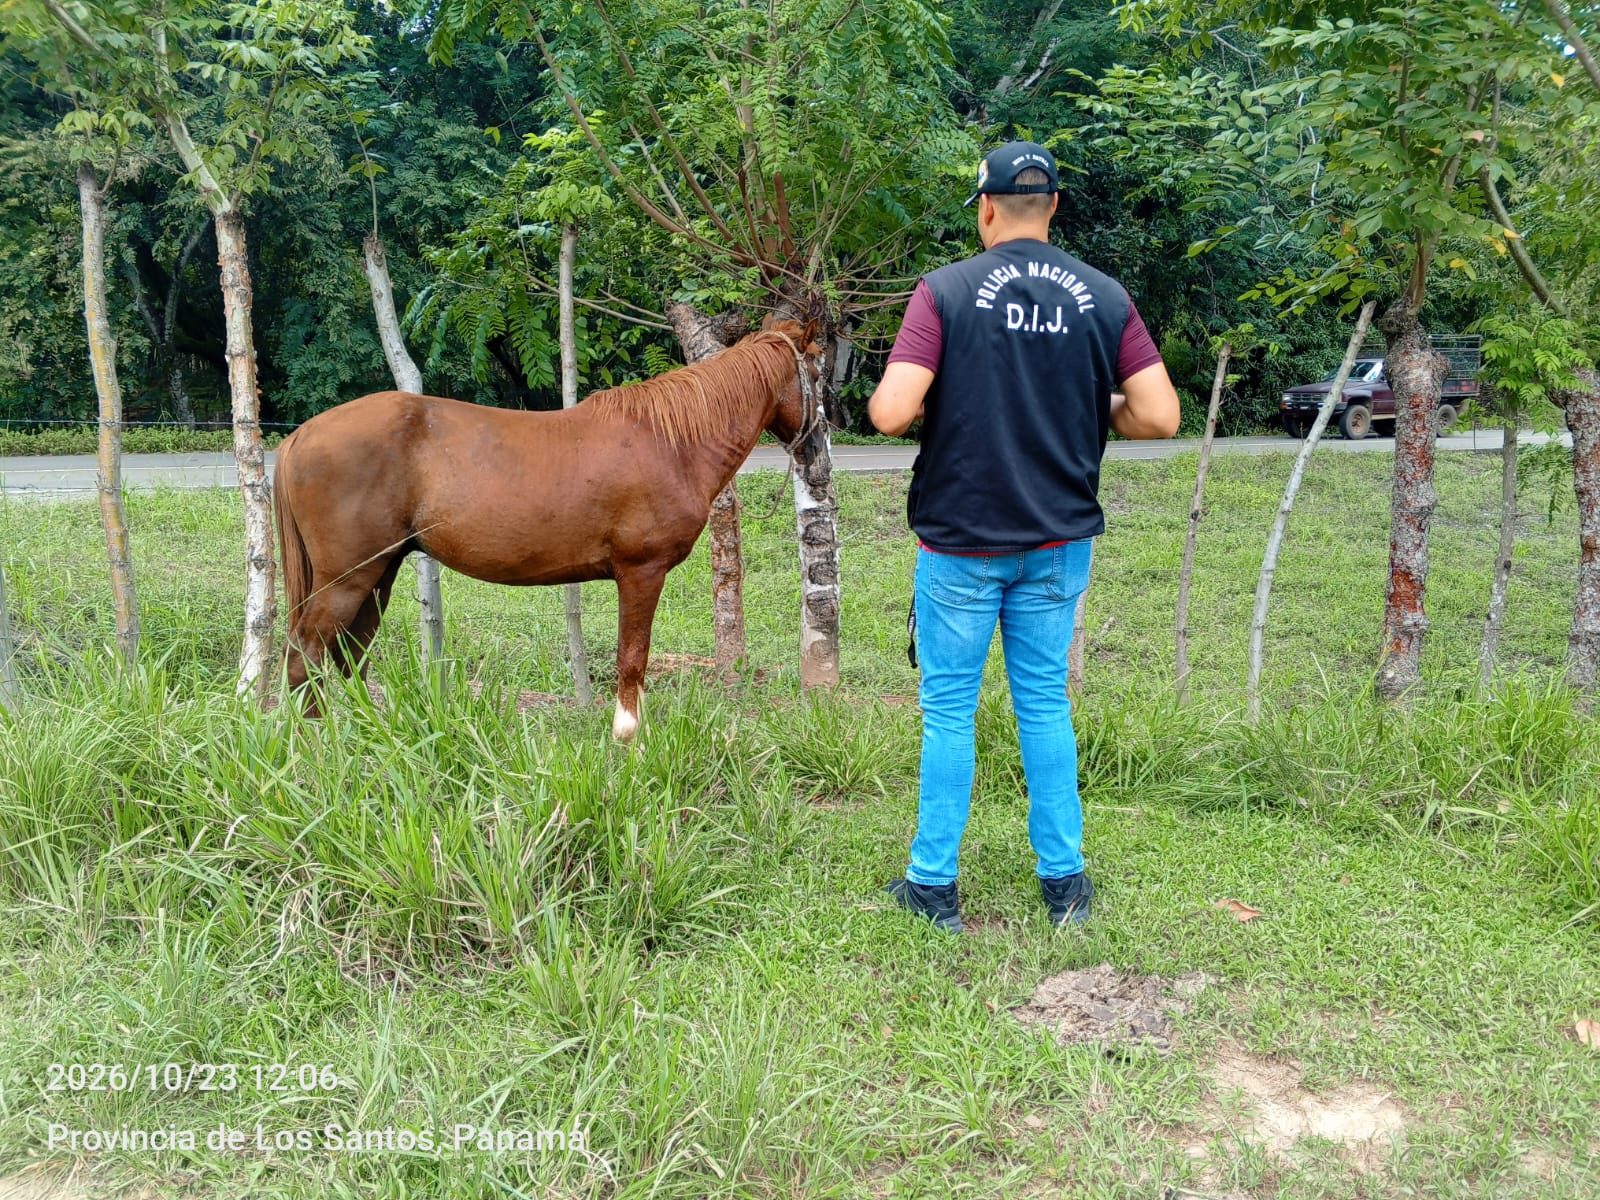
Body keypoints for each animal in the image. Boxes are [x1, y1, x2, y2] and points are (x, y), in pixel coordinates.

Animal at [272, 318, 823, 739]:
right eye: (817, 368)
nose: (817, 447)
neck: (671, 443)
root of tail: (300, 436)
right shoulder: (641, 572)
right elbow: (632, 658)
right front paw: (627, 737)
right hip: (348, 577)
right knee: (306, 652)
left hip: (379, 571)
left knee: (349, 654)